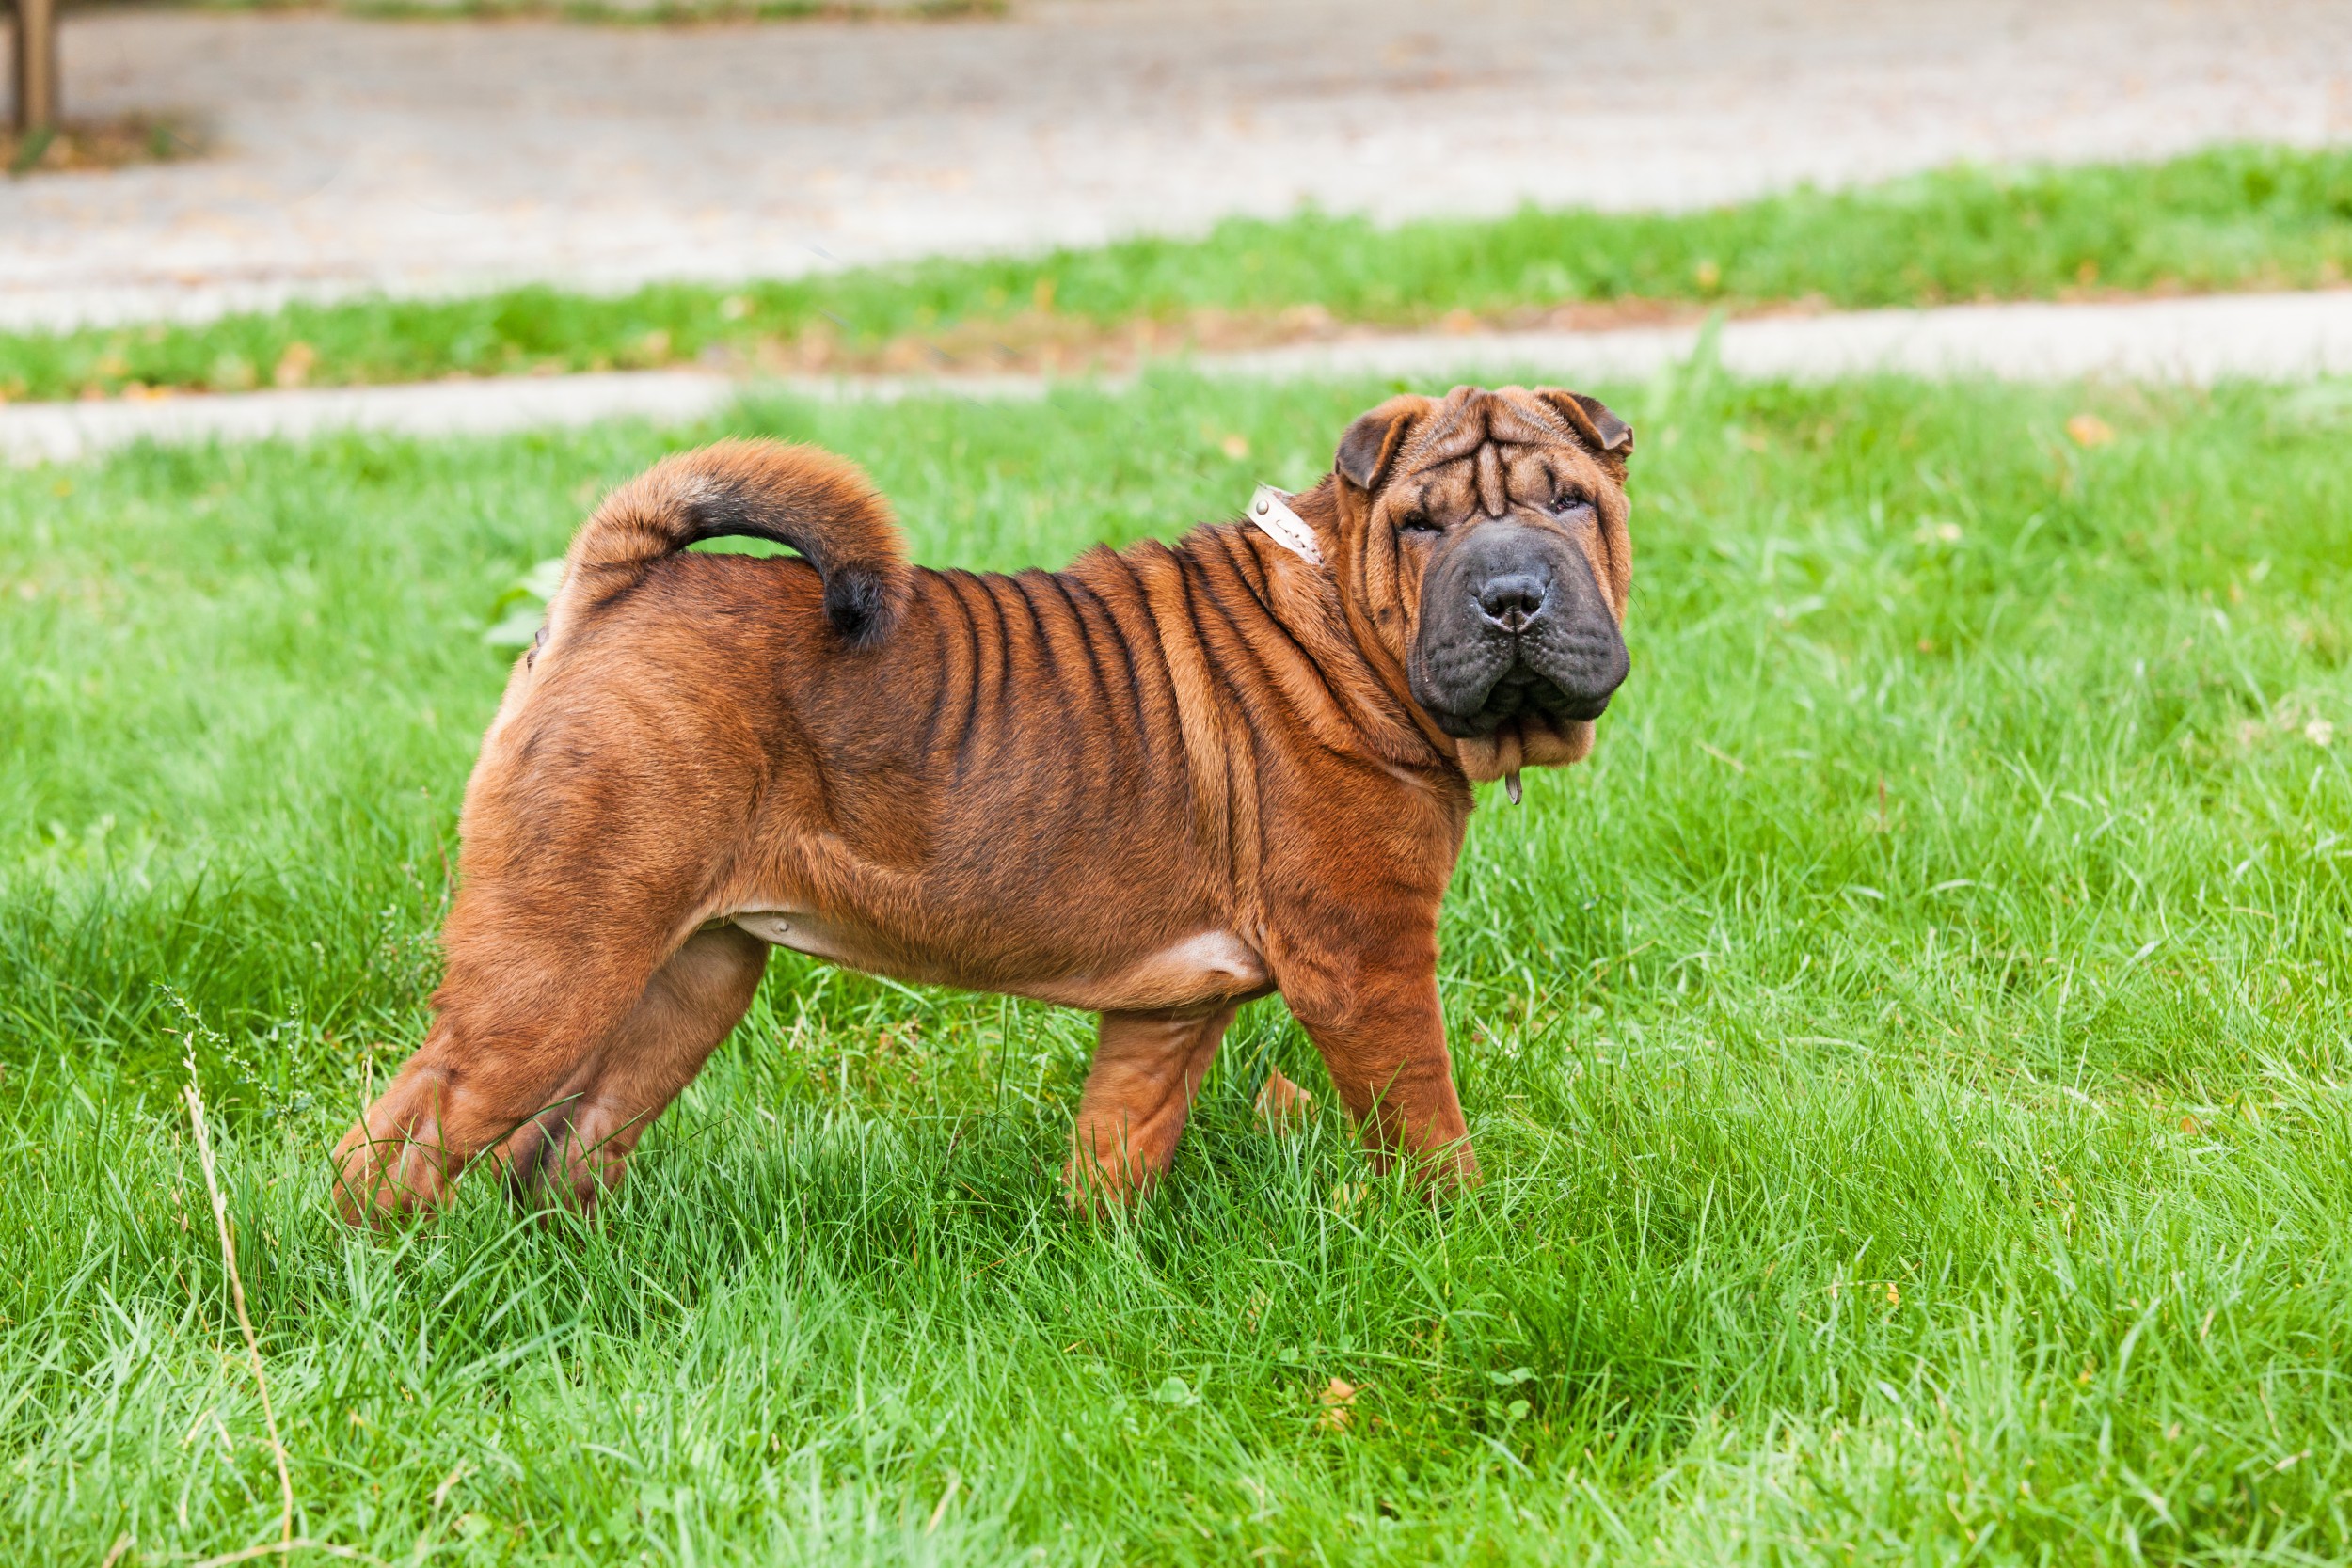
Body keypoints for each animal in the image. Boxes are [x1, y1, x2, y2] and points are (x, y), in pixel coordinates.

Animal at [336, 383, 1637, 1222]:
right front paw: (1471, 1241)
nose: (1511, 596)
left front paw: (1100, 1266)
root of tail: (618, 588)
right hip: (553, 968)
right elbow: (1427, 1126)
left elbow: (1118, 1143)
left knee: (560, 1150)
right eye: (1421, 523)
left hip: (688, 976)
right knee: (398, 1138)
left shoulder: (1171, 1010)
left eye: (1570, 502)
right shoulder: (1366, 962)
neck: (1341, 626)